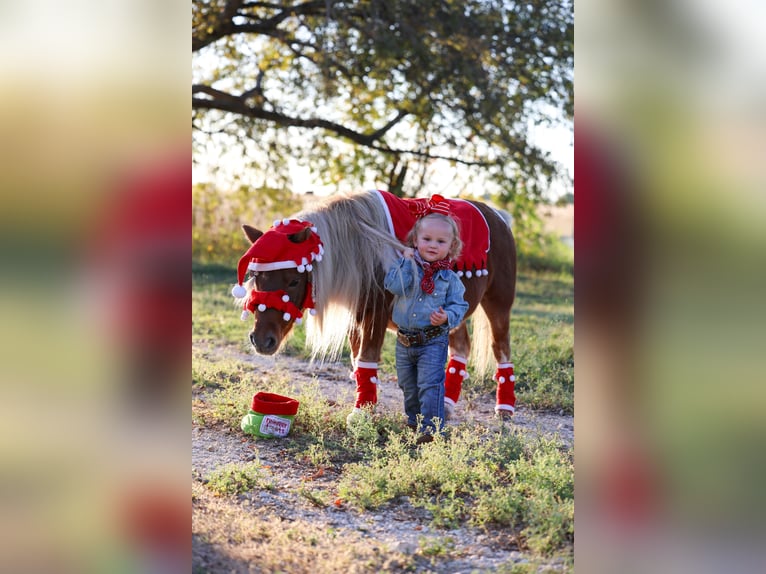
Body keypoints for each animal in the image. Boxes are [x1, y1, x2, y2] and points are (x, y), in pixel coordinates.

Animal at [231, 189, 517, 421]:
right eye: (257, 277)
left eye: (293, 280)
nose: (261, 340)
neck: (360, 252)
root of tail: (500, 216)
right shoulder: (356, 316)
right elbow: (359, 362)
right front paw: (366, 406)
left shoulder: (375, 316)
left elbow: (367, 357)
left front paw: (361, 414)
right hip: (453, 312)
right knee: (460, 347)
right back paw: (446, 404)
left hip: (498, 304)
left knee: (501, 347)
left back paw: (505, 409)